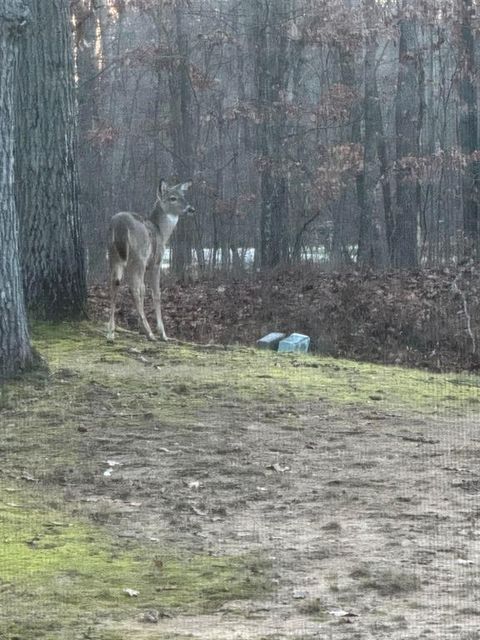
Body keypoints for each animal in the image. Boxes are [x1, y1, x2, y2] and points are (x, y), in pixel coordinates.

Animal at [106, 180, 194, 340]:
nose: (191, 209)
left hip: (113, 255)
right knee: (135, 288)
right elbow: (156, 293)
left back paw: (111, 333)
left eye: (183, 195)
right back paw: (150, 332)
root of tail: (120, 225)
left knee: (115, 283)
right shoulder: (156, 263)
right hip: (138, 257)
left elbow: (145, 291)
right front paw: (162, 333)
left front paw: (140, 328)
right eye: (173, 198)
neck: (162, 233)